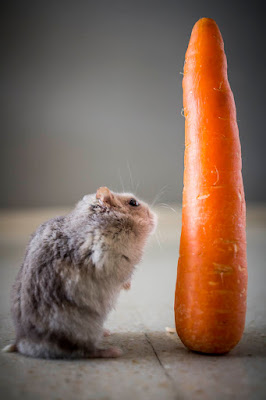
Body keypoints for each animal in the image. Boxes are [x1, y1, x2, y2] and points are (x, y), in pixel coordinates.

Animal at [6, 188, 157, 360]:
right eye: (133, 203)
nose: (155, 217)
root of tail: (23, 344)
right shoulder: (107, 256)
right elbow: (124, 274)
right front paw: (128, 285)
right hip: (81, 329)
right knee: (82, 351)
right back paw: (112, 351)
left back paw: (106, 333)